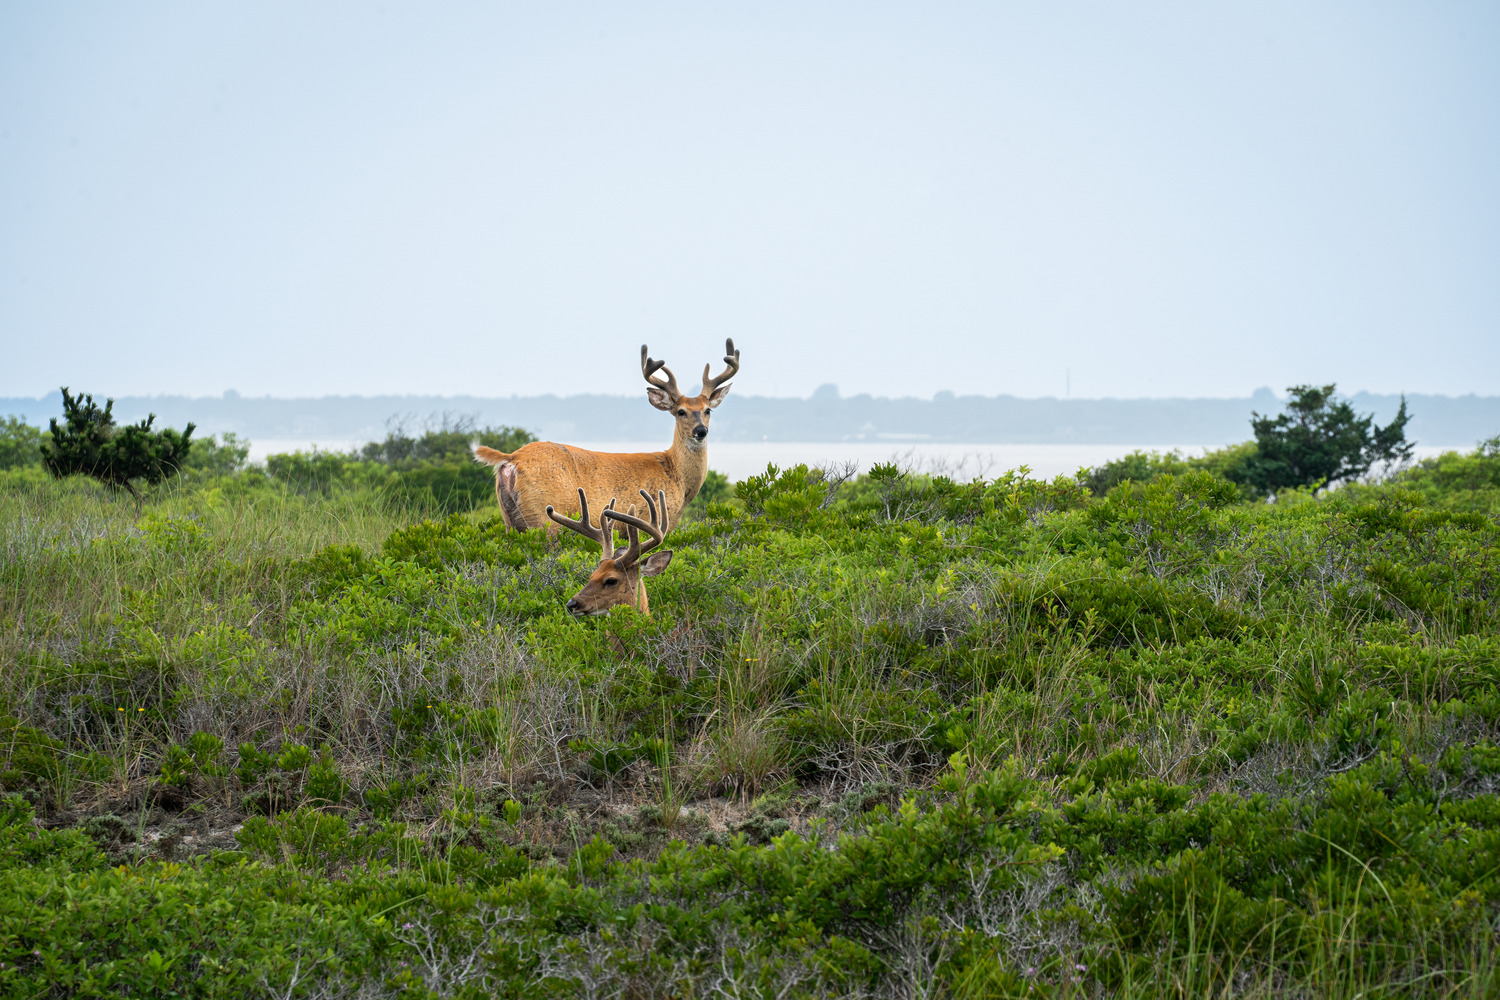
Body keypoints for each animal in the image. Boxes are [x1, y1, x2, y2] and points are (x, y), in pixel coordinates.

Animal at [473, 339, 739, 533]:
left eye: (708, 410)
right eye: (681, 411)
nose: (700, 431)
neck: (676, 476)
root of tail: (512, 459)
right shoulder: (650, 518)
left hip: (510, 519)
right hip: (545, 518)